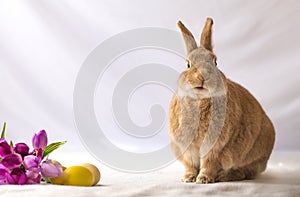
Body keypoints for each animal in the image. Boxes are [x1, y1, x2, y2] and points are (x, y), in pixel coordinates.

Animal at [168, 17, 276, 184]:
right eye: (188, 64)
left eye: (215, 62)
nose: (202, 77)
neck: (200, 100)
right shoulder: (188, 148)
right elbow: (190, 165)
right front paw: (188, 178)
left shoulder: (214, 147)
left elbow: (209, 163)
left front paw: (203, 179)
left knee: (246, 171)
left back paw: (224, 176)